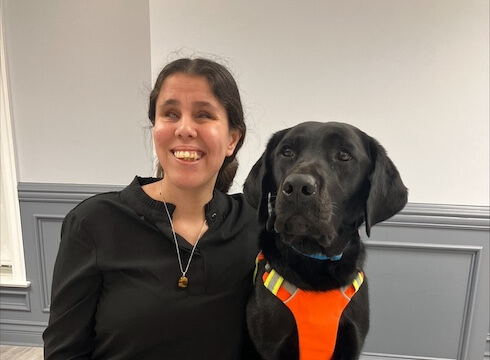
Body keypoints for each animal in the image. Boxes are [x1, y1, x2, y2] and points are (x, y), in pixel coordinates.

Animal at [243, 121, 408, 360]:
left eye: (344, 155)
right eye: (286, 151)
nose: (298, 186)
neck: (315, 261)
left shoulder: (351, 342)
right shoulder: (271, 345)